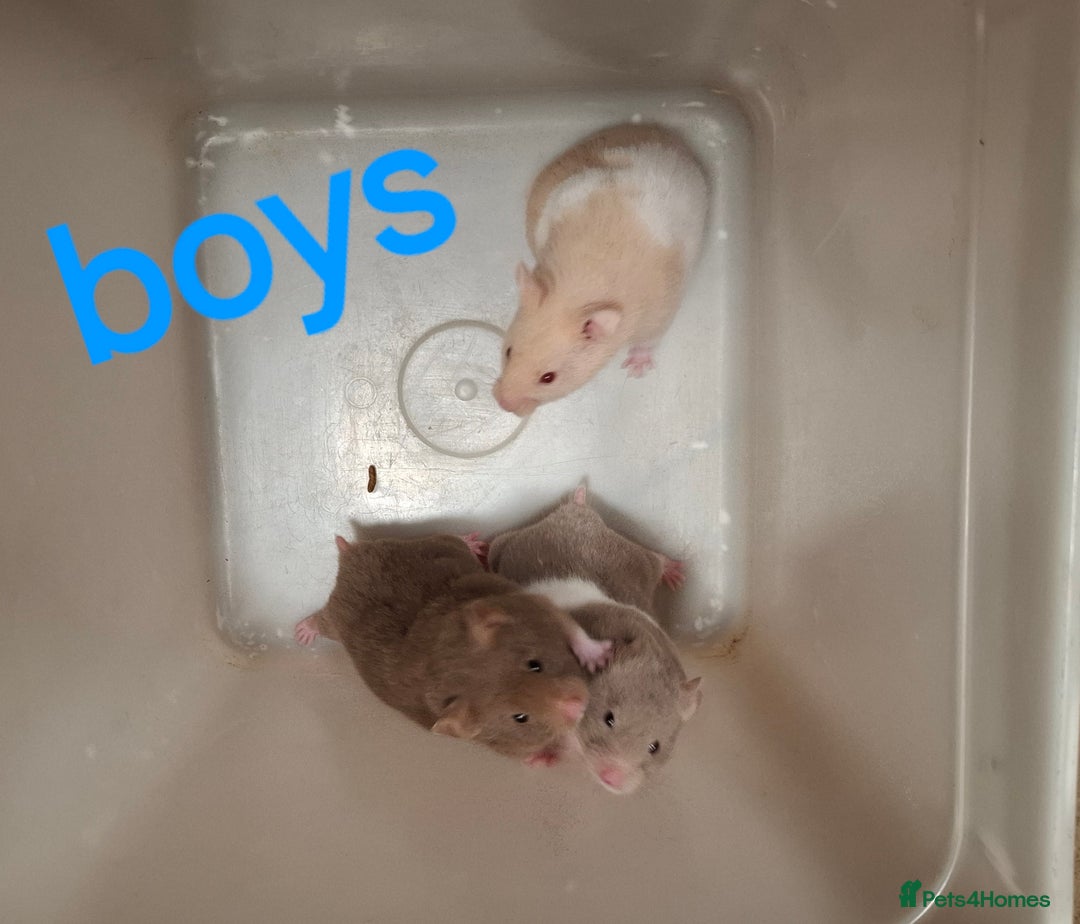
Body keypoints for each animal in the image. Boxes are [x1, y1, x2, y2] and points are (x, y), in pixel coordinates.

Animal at [295, 532, 614, 764]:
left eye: (535, 664)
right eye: (520, 718)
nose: (580, 705)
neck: (440, 654)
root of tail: (348, 560)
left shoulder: (528, 601)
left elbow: (570, 627)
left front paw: (599, 657)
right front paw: (548, 756)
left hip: (428, 543)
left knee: (450, 537)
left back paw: (473, 542)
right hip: (337, 619)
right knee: (322, 620)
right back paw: (303, 631)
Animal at [487, 486, 702, 794]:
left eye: (655, 747)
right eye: (608, 718)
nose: (613, 779)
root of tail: (581, 511)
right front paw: (538, 756)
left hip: (634, 558)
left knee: (654, 559)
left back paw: (674, 571)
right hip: (511, 543)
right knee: (496, 543)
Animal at [492, 122, 709, 416]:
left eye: (548, 378)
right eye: (509, 351)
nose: (501, 403)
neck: (577, 291)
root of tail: (666, 134)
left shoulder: (659, 314)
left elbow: (648, 340)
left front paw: (636, 370)